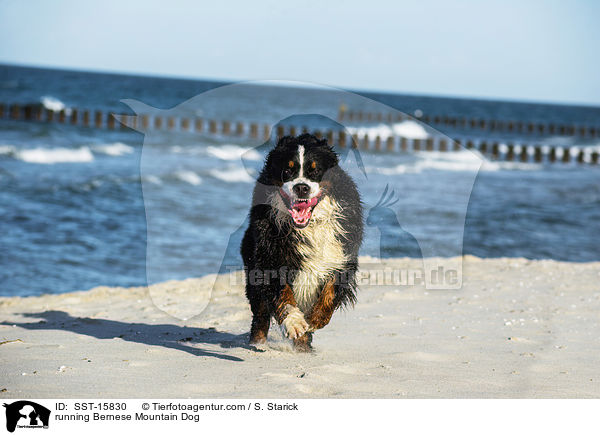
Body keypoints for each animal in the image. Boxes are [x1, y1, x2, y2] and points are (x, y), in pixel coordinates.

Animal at [241, 133, 364, 350]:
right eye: (287, 171)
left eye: (315, 171)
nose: (301, 187)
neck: (309, 227)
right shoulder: (270, 256)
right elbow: (283, 293)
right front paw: (295, 322)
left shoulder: (341, 256)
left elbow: (331, 292)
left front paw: (315, 320)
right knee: (260, 314)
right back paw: (259, 343)